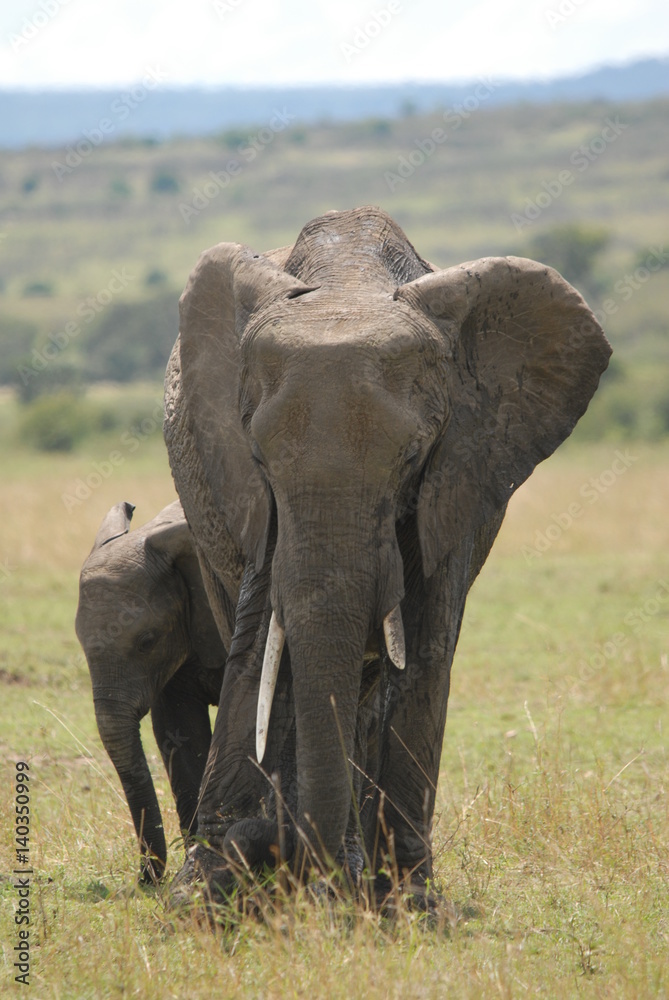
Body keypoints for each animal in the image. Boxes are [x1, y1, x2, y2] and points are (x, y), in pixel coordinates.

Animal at [163, 206, 611, 908]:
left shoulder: (460, 468)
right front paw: (204, 894)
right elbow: (260, 641)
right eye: (258, 456)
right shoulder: (246, 490)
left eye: (412, 457)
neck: (350, 280)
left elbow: (424, 648)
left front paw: (407, 904)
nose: (279, 856)